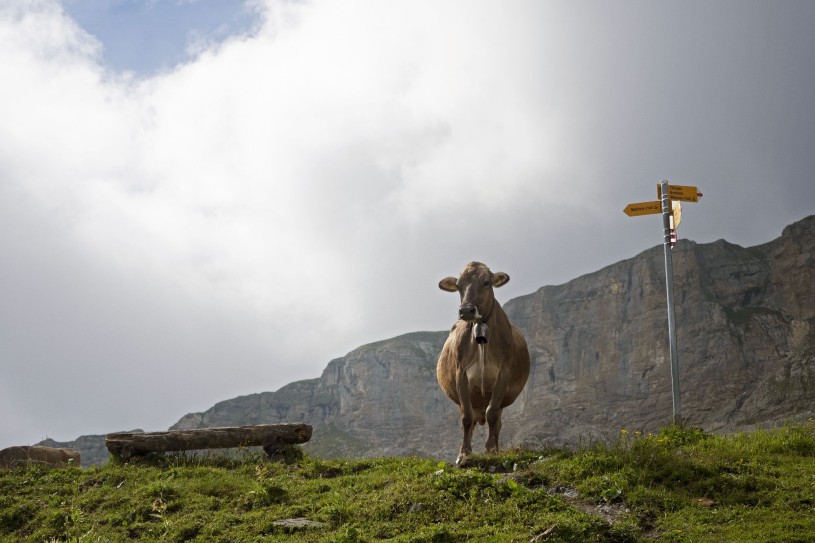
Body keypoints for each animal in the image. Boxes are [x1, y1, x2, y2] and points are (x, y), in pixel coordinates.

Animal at [436, 262, 532, 466]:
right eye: (459, 285)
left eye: (486, 282)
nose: (466, 310)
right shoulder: (461, 375)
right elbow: (466, 418)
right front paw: (464, 454)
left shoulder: (503, 374)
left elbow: (492, 414)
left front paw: (491, 450)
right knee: (472, 420)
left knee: (496, 422)